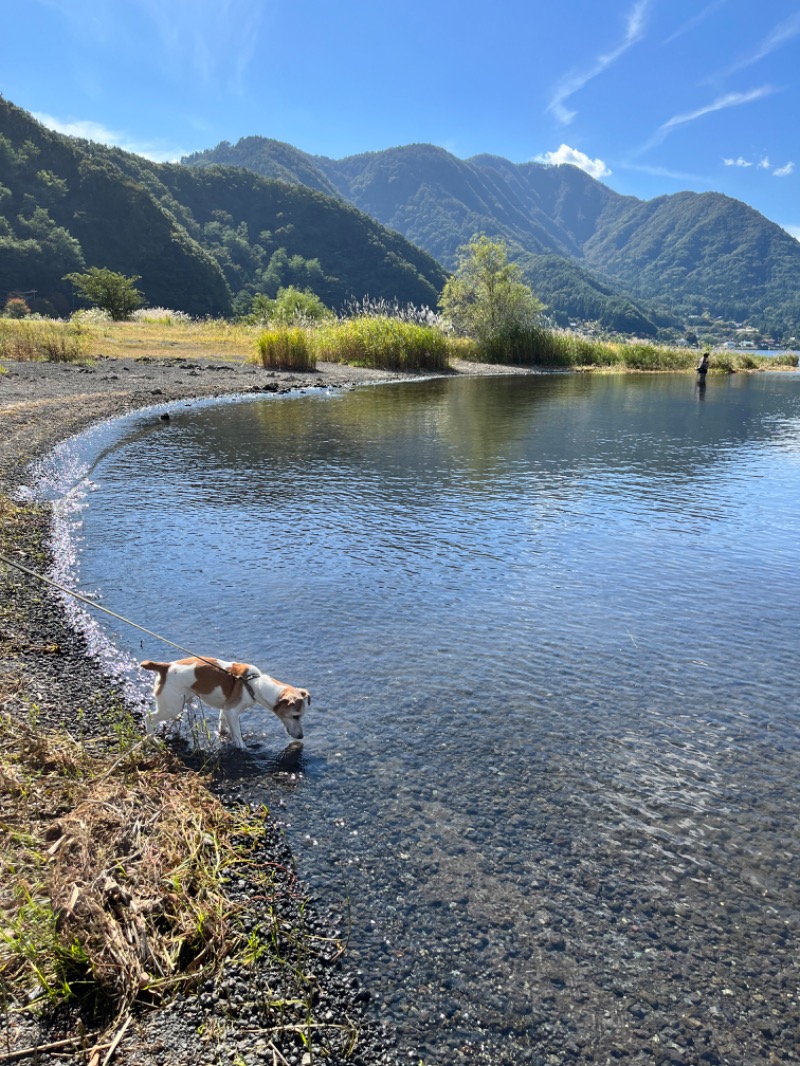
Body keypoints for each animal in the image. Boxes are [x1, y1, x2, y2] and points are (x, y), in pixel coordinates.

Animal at [140, 656, 309, 750]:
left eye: (301, 716)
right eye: (295, 716)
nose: (301, 736)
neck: (254, 684)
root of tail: (165, 667)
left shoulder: (226, 709)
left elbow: (222, 723)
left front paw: (223, 733)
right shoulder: (232, 712)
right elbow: (238, 736)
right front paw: (243, 748)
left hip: (178, 703)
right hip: (172, 707)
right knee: (148, 718)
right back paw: (152, 739)